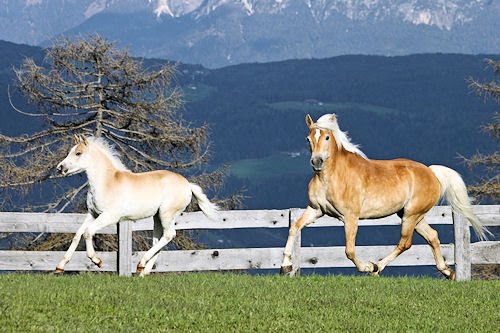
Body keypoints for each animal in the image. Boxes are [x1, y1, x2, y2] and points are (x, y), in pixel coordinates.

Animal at [55, 134, 218, 274]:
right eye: (70, 152)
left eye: (78, 153)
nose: (60, 168)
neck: (106, 182)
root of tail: (187, 185)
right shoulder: (93, 214)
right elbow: (77, 234)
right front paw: (60, 267)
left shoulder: (110, 216)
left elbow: (88, 232)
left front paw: (97, 261)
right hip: (157, 217)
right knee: (159, 240)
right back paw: (143, 272)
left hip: (167, 213)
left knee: (169, 235)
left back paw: (141, 263)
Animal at [280, 113, 490, 278]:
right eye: (308, 138)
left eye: (326, 137)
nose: (317, 162)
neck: (332, 177)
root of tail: (431, 172)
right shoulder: (316, 210)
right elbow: (294, 228)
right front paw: (285, 267)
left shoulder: (350, 217)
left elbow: (349, 250)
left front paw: (365, 267)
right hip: (411, 215)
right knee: (432, 236)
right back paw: (448, 272)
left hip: (411, 215)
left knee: (405, 243)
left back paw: (376, 267)